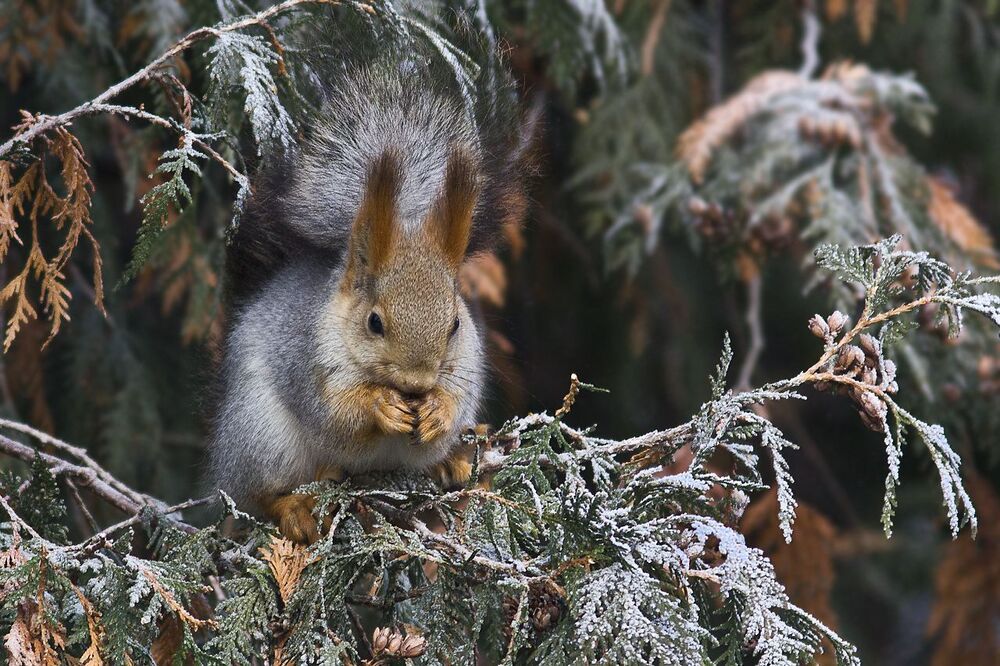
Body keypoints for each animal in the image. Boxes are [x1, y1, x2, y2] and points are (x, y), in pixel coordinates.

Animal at [208, 61, 529, 543]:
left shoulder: (467, 365)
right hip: (261, 436)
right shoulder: (307, 362)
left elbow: (454, 402)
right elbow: (335, 415)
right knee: (260, 494)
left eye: (455, 324)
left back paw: (456, 460)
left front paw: (437, 412)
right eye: (374, 322)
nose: (416, 383)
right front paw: (380, 406)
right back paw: (295, 509)